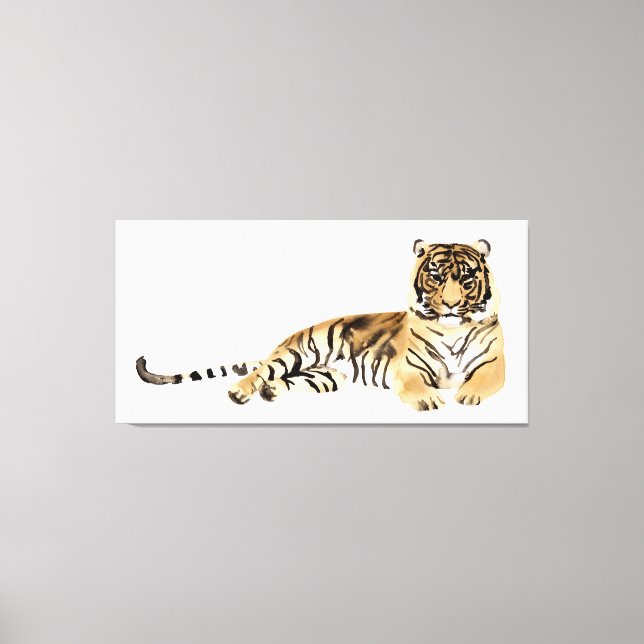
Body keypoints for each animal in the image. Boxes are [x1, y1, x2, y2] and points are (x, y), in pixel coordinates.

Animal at [136, 238, 505, 411]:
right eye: (435, 275)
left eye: (467, 278)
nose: (451, 304)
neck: (452, 329)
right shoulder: (408, 369)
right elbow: (417, 386)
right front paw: (430, 401)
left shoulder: (494, 363)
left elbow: (483, 379)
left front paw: (467, 394)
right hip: (298, 352)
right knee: (262, 371)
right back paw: (239, 392)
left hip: (326, 376)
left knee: (284, 380)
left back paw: (269, 392)